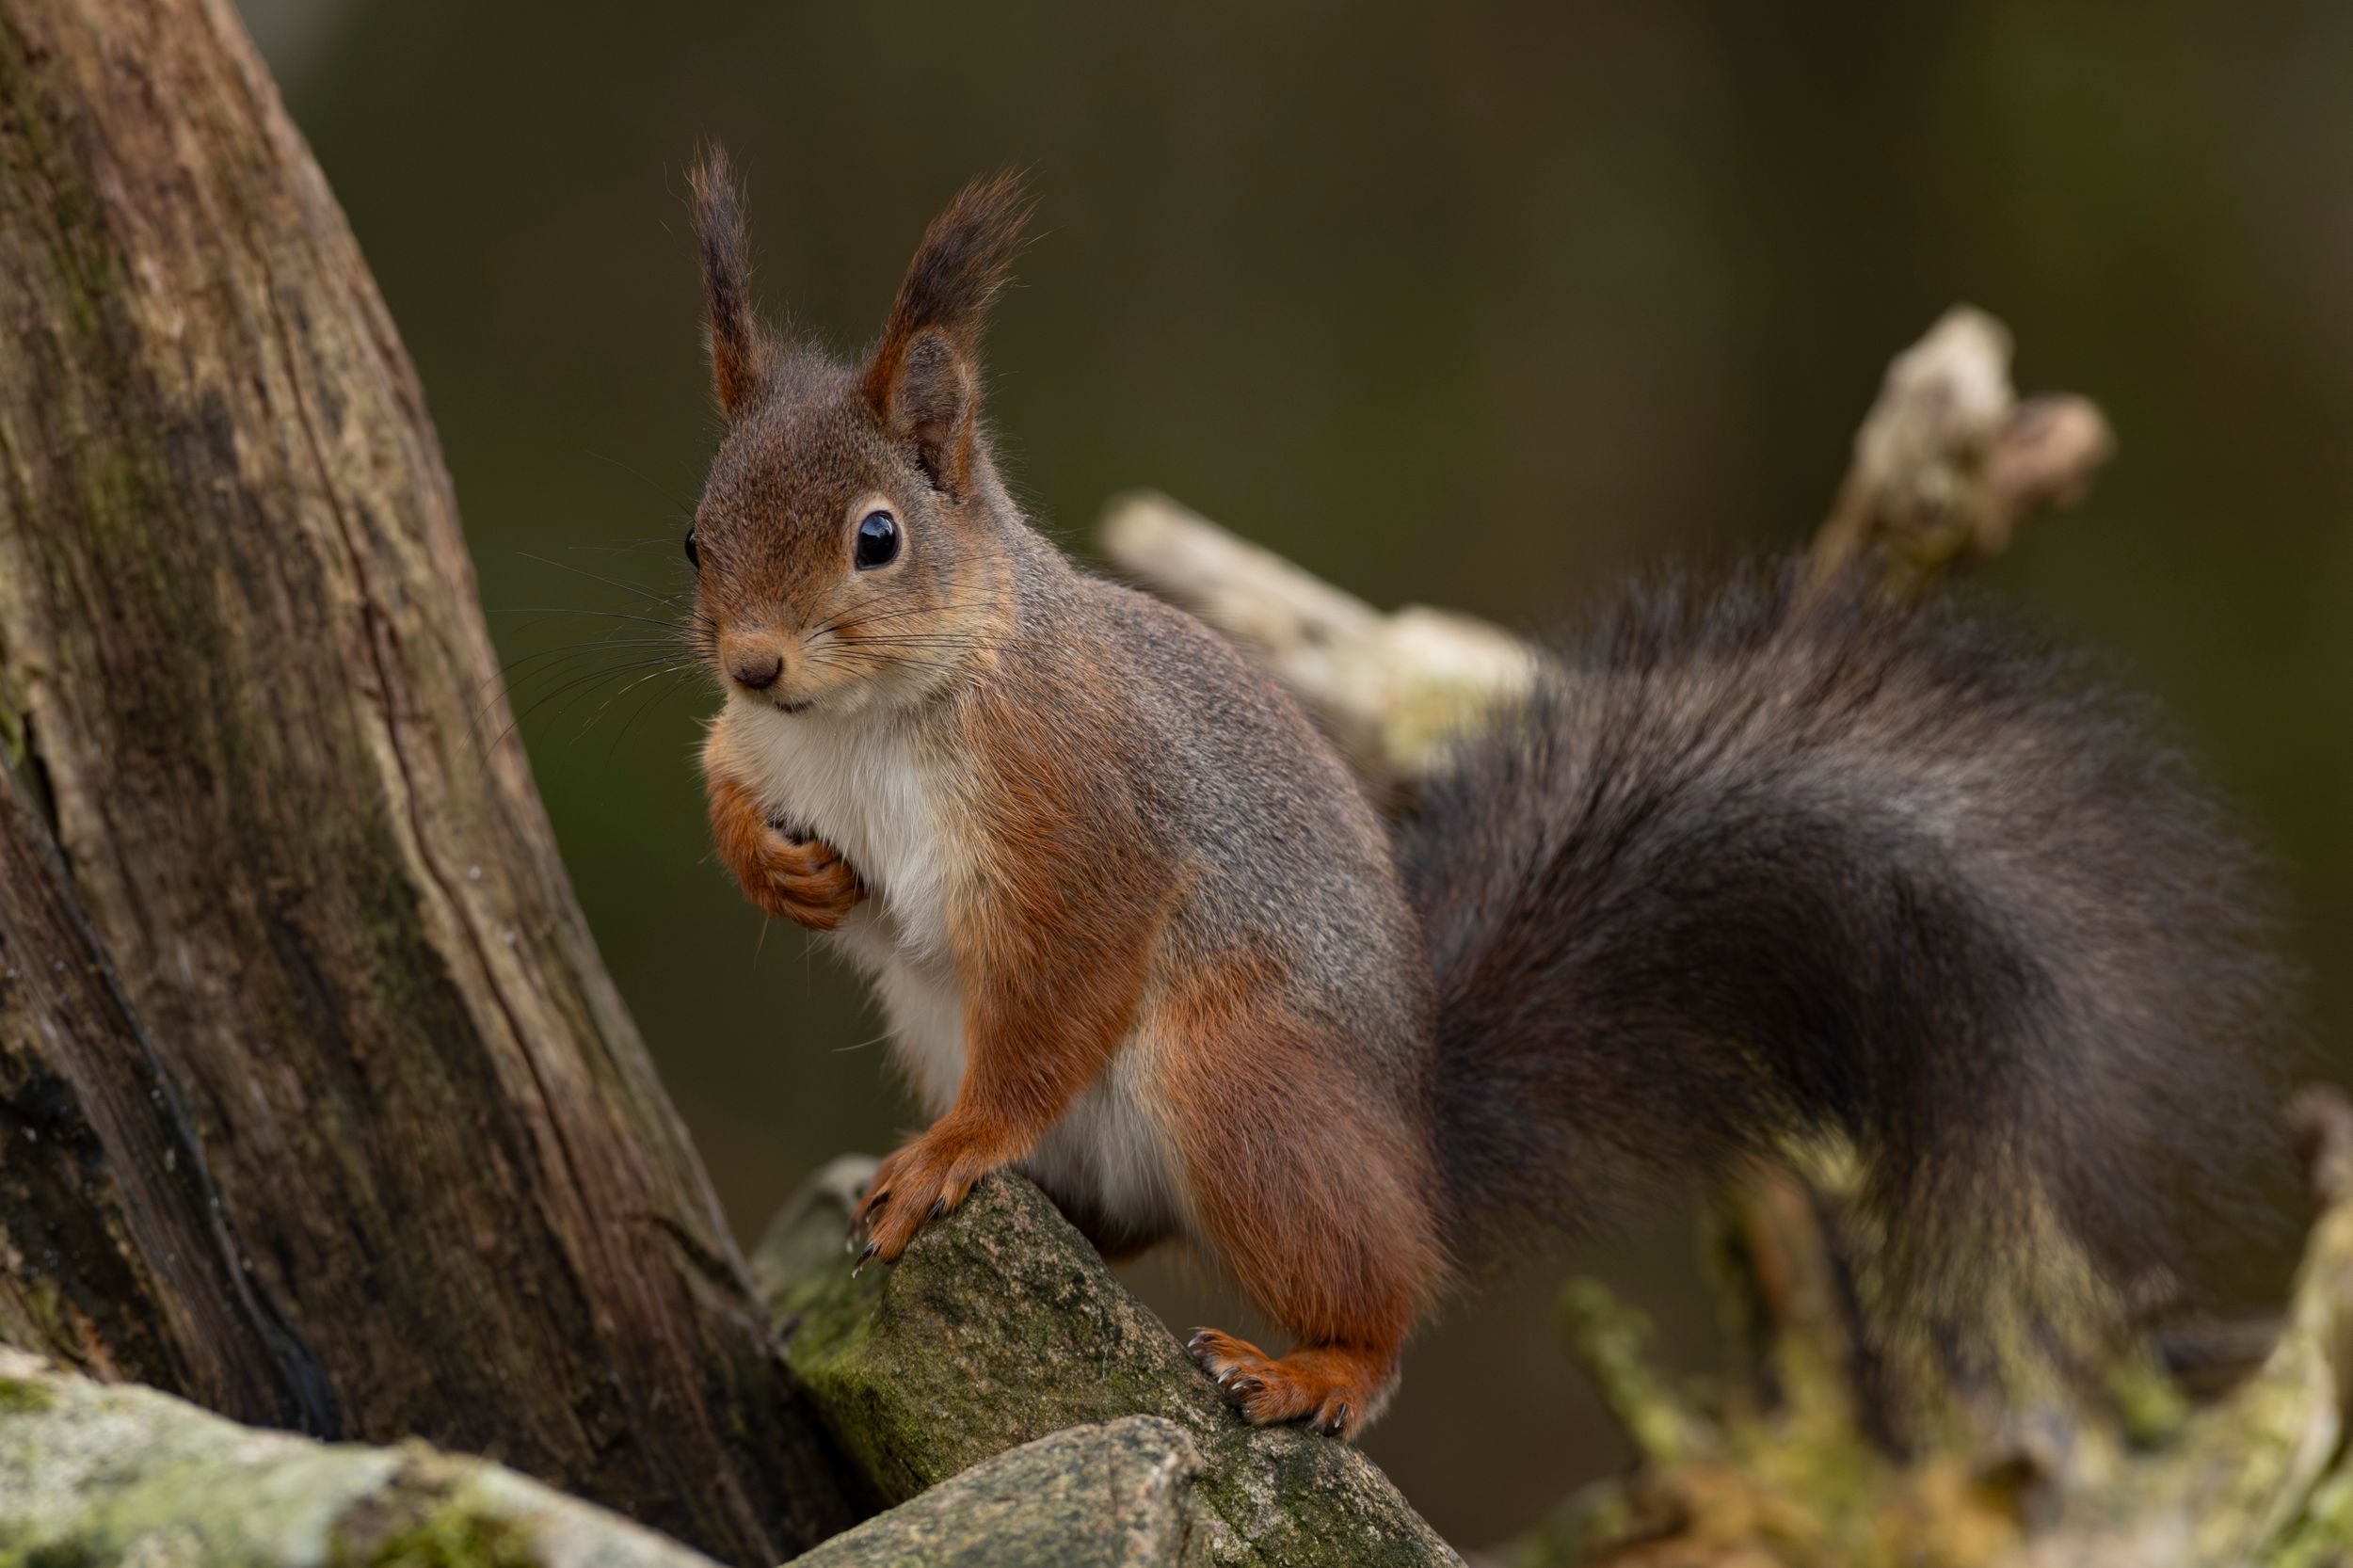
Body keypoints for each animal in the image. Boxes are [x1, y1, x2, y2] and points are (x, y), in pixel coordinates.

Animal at [681, 150, 2280, 1441]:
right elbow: (724, 779)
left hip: (1246, 1088)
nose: (753, 661)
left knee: (1384, 1293)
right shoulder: (766, 747)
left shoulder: (1083, 815)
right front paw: (780, 867)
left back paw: (1311, 1368)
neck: (860, 723)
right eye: (697, 534)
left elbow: (1058, 994)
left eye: (877, 537)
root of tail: (1417, 1138)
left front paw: (957, 1152)